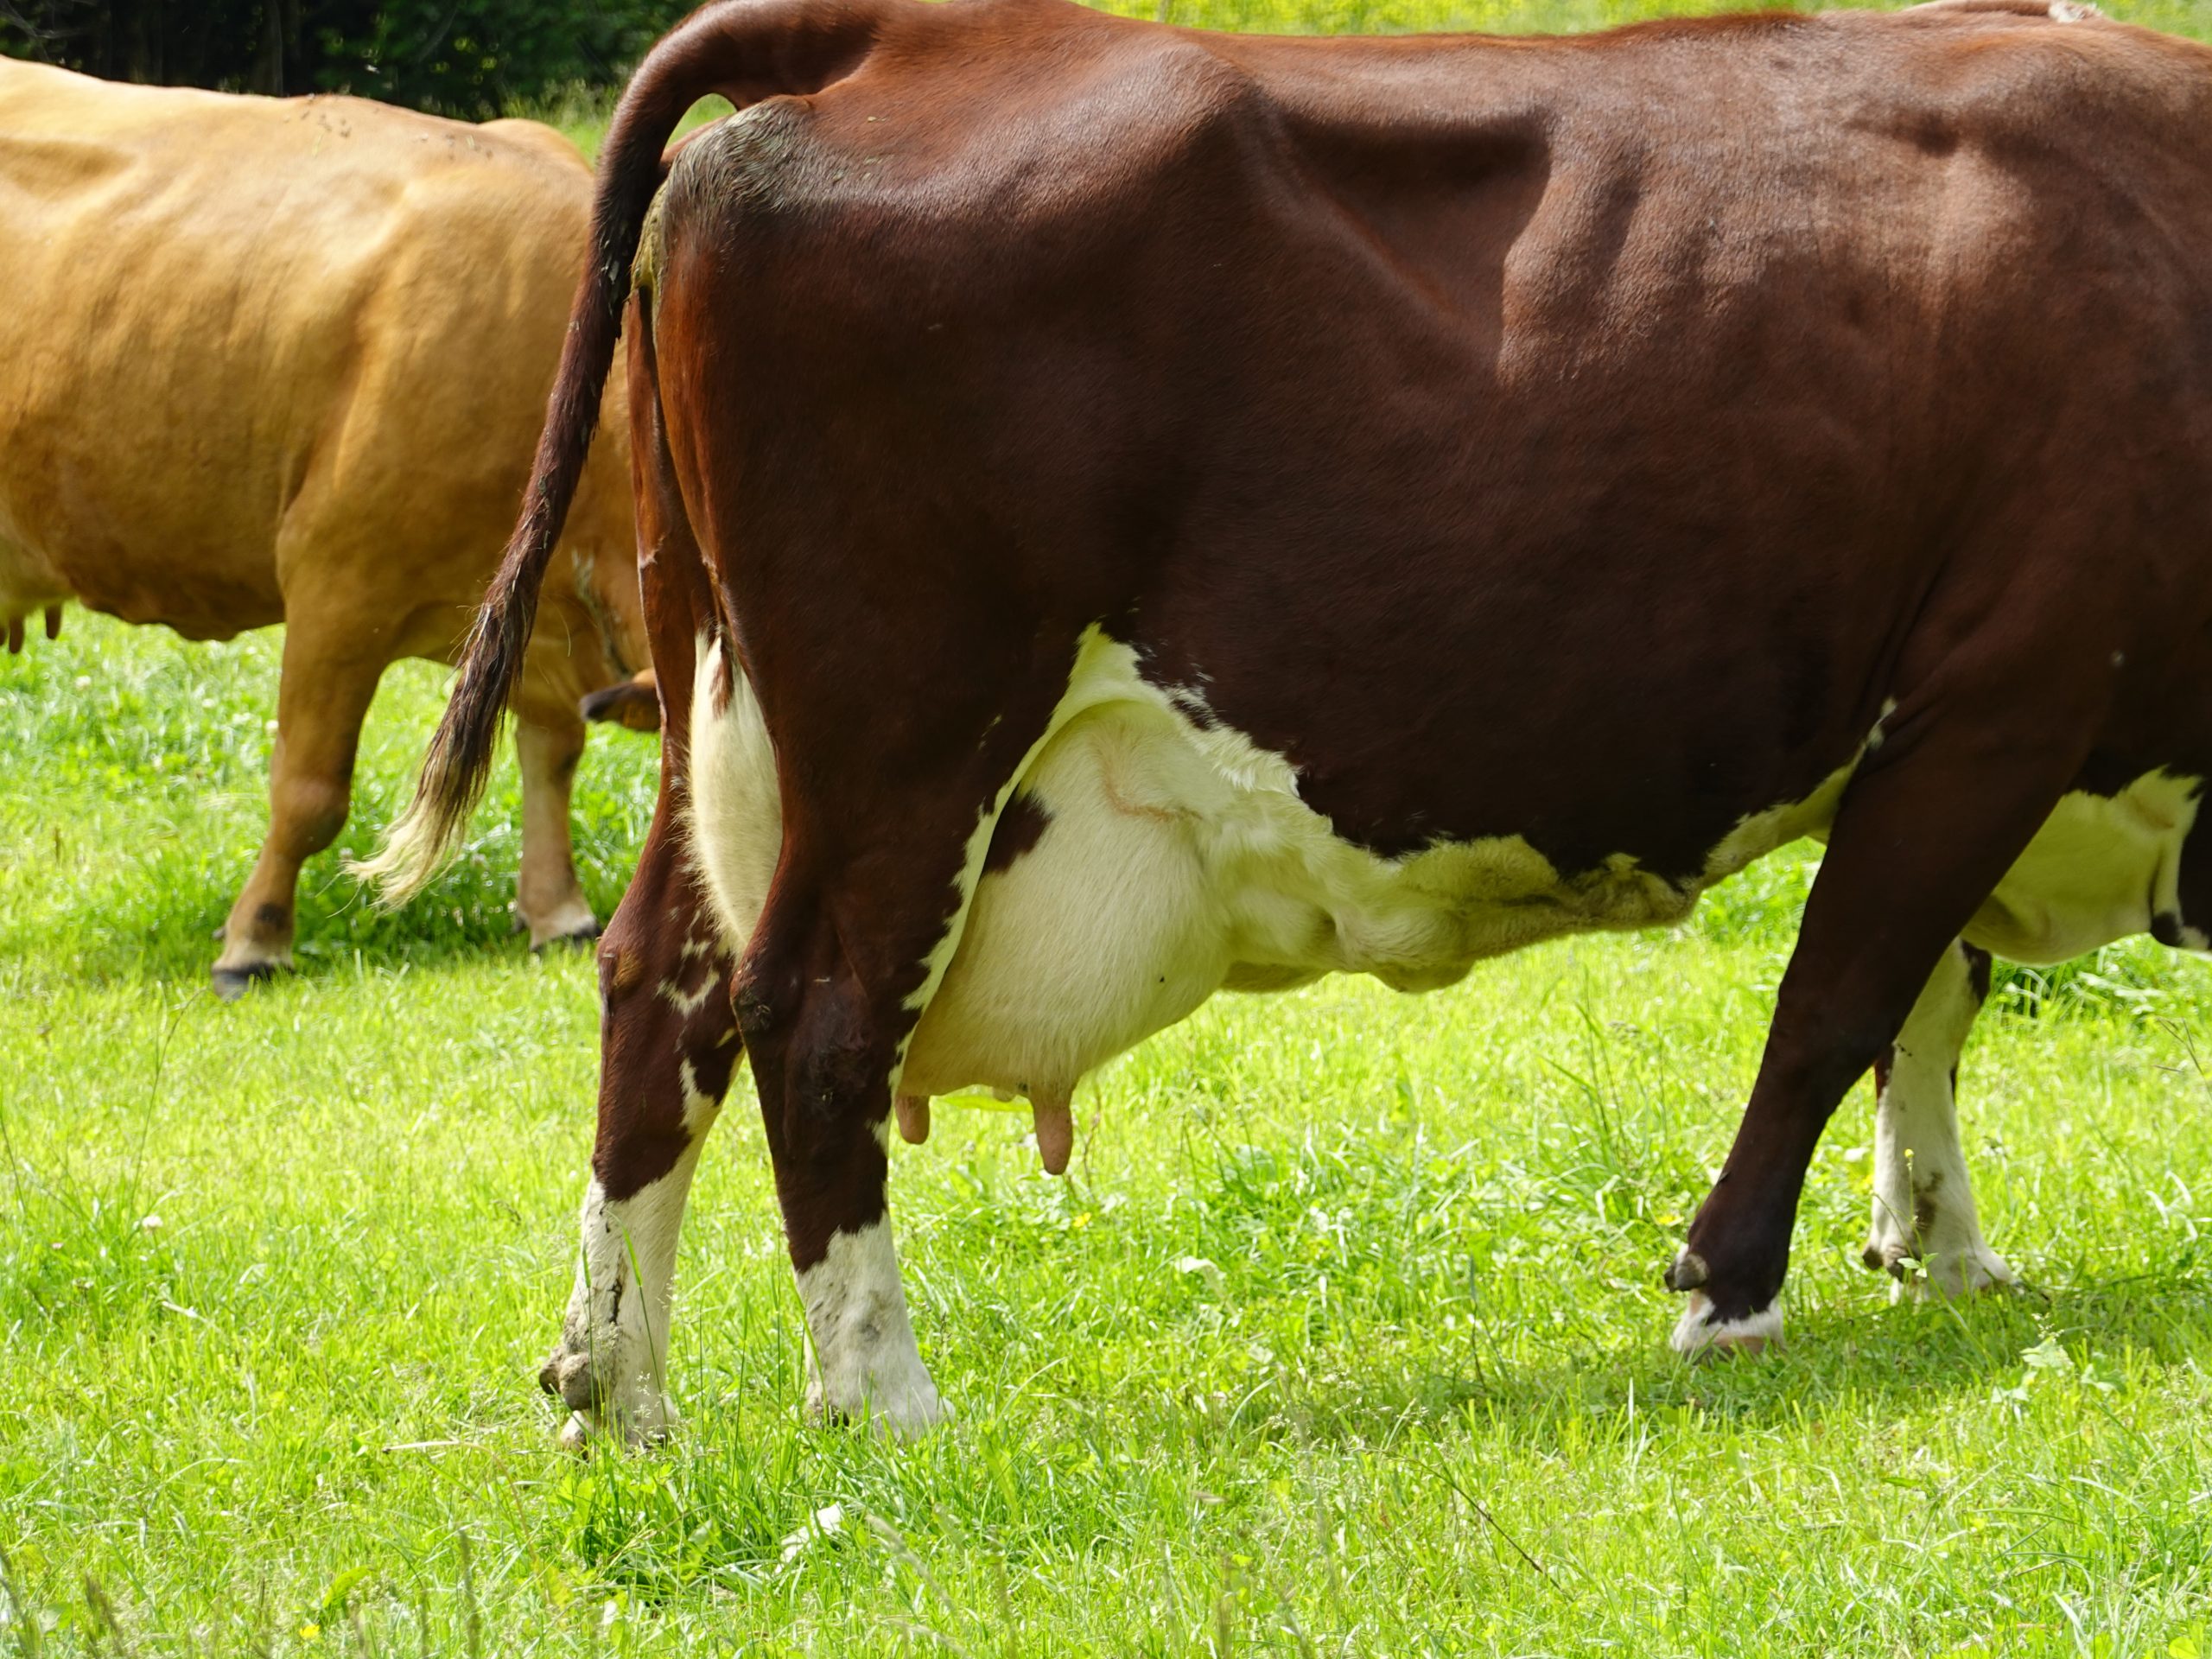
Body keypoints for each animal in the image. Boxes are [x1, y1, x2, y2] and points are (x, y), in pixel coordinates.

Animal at [0, 58, 646, 996]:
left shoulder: (534, 613)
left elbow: (553, 750)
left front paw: (557, 911)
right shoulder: (339, 587)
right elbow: (309, 791)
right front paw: (254, 940)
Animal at [366, 0, 2212, 1445]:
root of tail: (914, 35)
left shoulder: (1981, 742)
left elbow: (1928, 1002)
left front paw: (1942, 1251)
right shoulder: (1995, 701)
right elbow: (1840, 1002)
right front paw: (1731, 1292)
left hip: (727, 716)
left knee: (658, 991)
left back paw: (620, 1390)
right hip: (907, 735)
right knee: (811, 1017)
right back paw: (882, 1397)